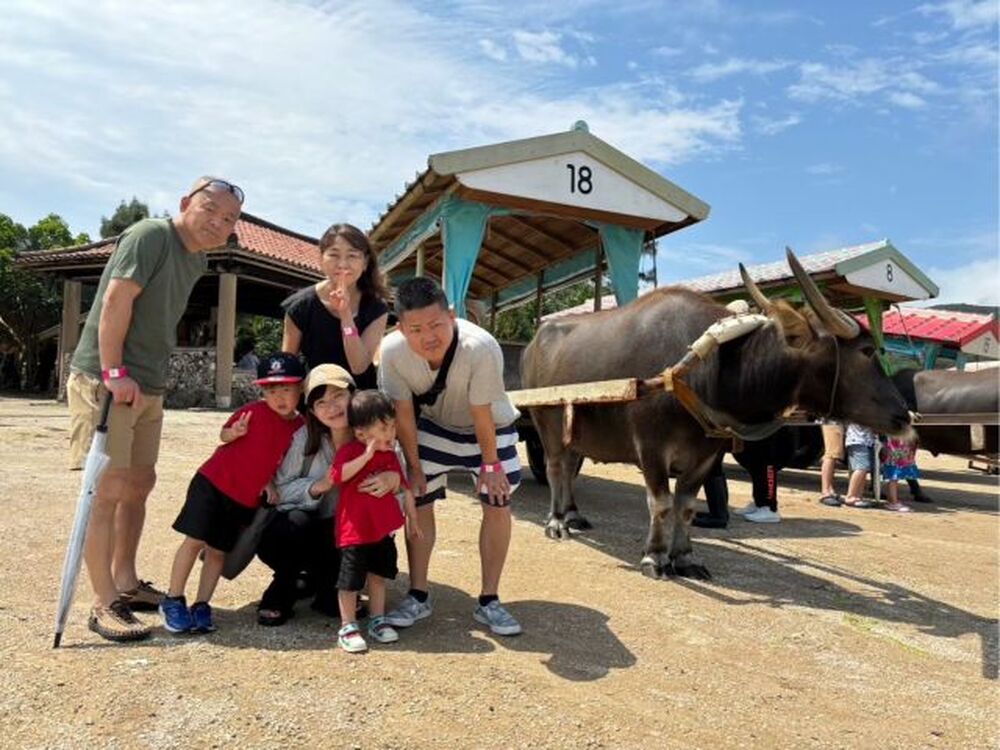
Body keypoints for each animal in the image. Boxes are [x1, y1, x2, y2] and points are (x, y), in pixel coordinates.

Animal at [524, 250, 916, 580]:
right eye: (867, 351)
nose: (905, 417)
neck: (707, 370)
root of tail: (534, 341)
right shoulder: (650, 448)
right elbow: (661, 504)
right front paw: (655, 556)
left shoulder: (706, 454)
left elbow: (684, 506)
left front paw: (683, 557)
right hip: (546, 424)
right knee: (556, 469)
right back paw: (556, 521)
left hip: (574, 432)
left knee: (570, 468)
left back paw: (573, 514)